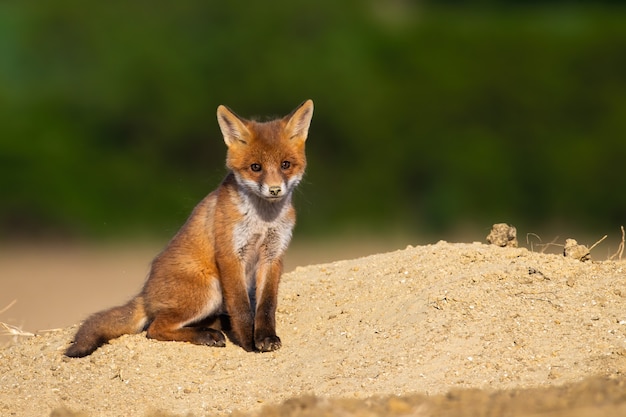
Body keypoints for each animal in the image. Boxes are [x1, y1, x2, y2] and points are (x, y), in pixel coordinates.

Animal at [64, 99, 312, 356]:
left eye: (285, 165)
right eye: (256, 167)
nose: (275, 190)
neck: (263, 221)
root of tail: (145, 294)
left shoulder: (273, 255)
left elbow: (266, 306)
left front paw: (266, 338)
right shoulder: (231, 255)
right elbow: (242, 308)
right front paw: (248, 344)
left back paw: (216, 327)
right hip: (208, 292)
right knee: (154, 329)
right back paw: (206, 335)